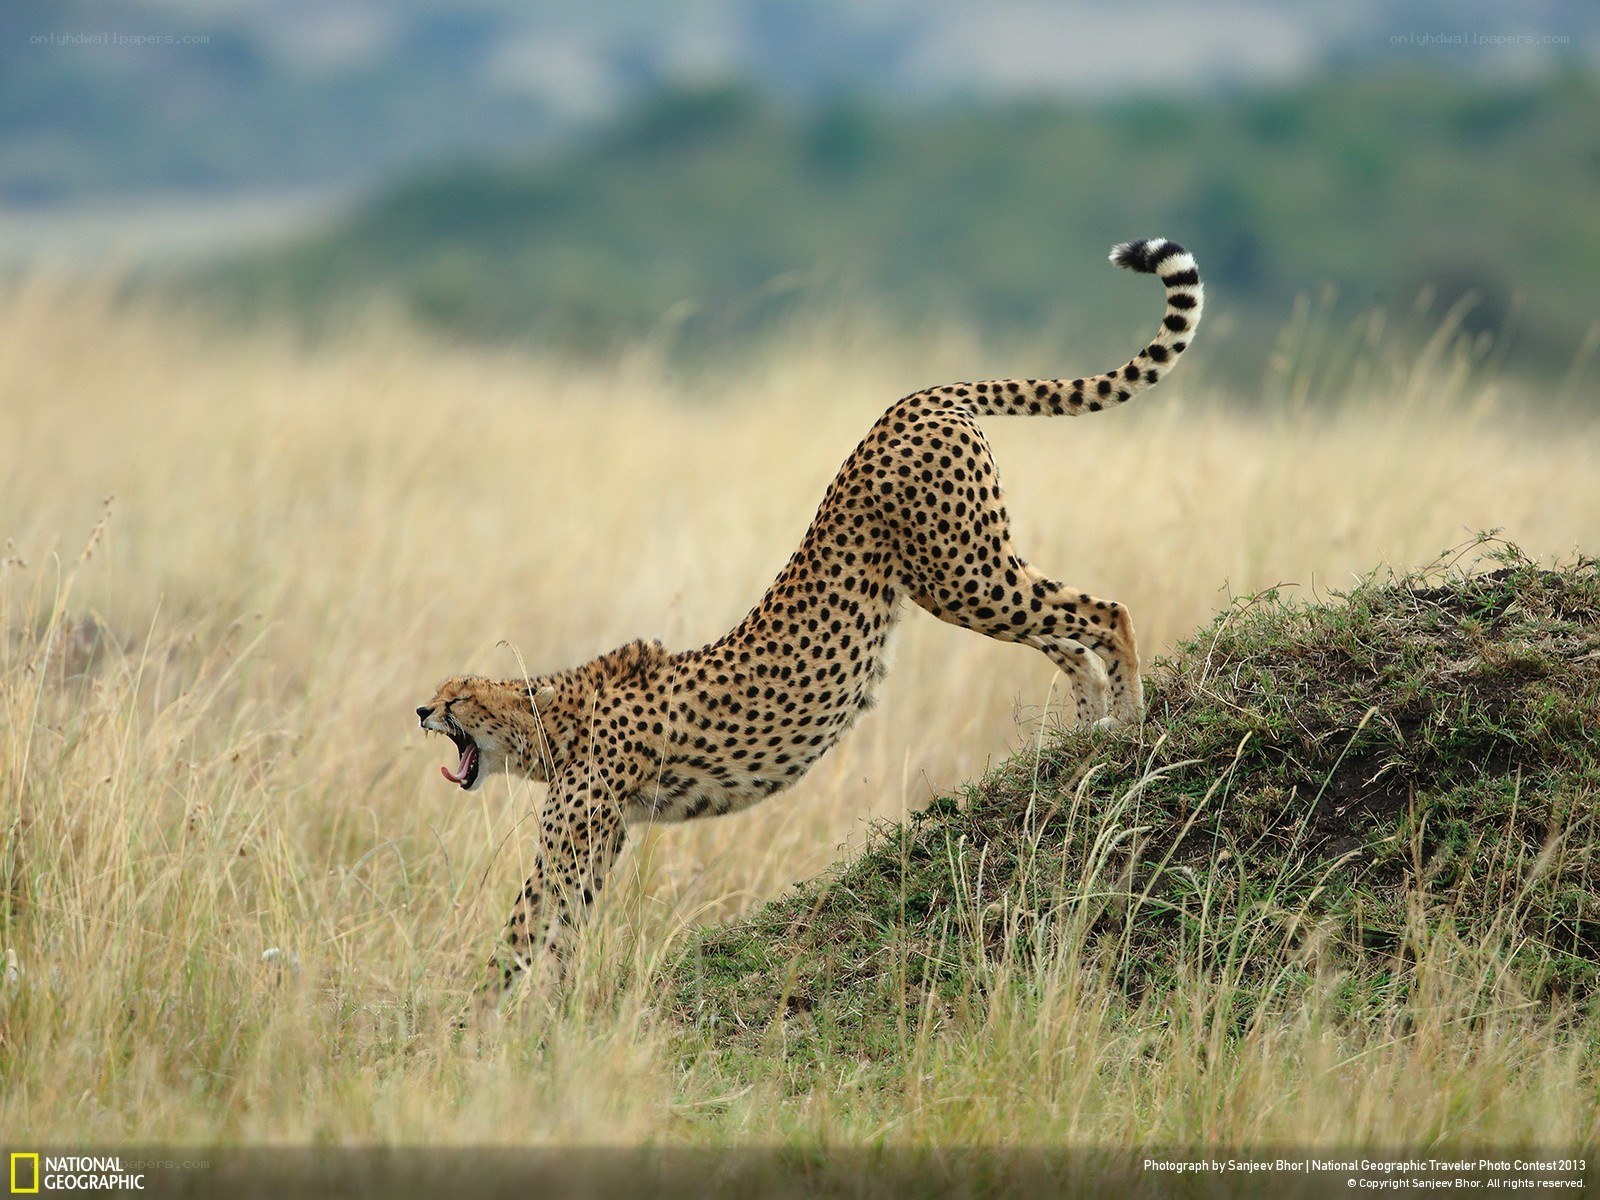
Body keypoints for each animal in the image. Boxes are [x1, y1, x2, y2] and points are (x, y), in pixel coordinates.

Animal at [417, 237, 1203, 1015]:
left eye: (456, 697)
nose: (422, 711)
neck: (549, 716)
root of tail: (915, 398)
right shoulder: (601, 833)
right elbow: (561, 926)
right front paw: (545, 1010)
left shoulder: (583, 825)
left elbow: (526, 925)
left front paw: (476, 1022)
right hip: (960, 577)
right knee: (1065, 636)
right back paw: (1081, 736)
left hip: (963, 571)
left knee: (1104, 611)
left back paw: (1128, 724)